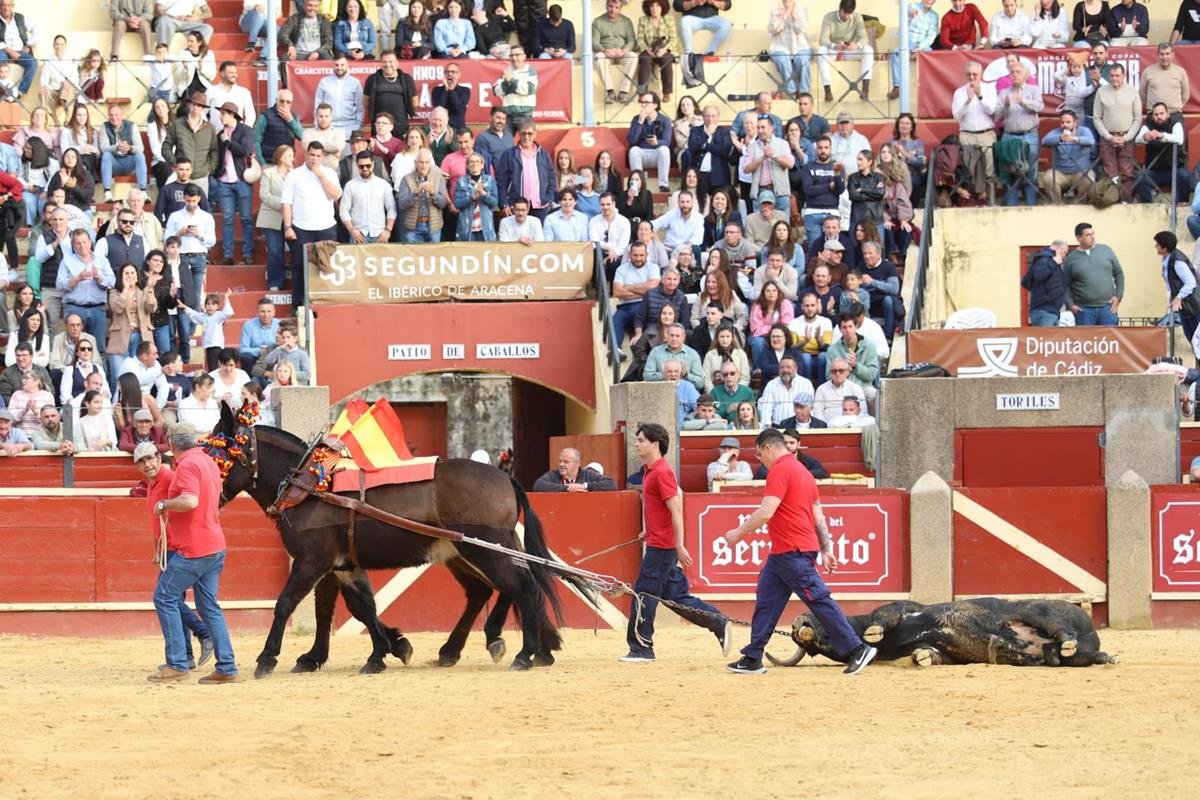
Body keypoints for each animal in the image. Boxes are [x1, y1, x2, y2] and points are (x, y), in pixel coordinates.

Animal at [210, 402, 589, 675]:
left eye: (219, 455)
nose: (208, 497)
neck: (309, 485)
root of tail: (504, 477)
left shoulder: (311, 562)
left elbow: (287, 603)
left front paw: (267, 658)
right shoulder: (340, 566)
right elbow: (353, 608)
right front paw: (381, 650)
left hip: (485, 550)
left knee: (522, 588)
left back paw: (525, 653)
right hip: (471, 552)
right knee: (492, 590)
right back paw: (493, 647)